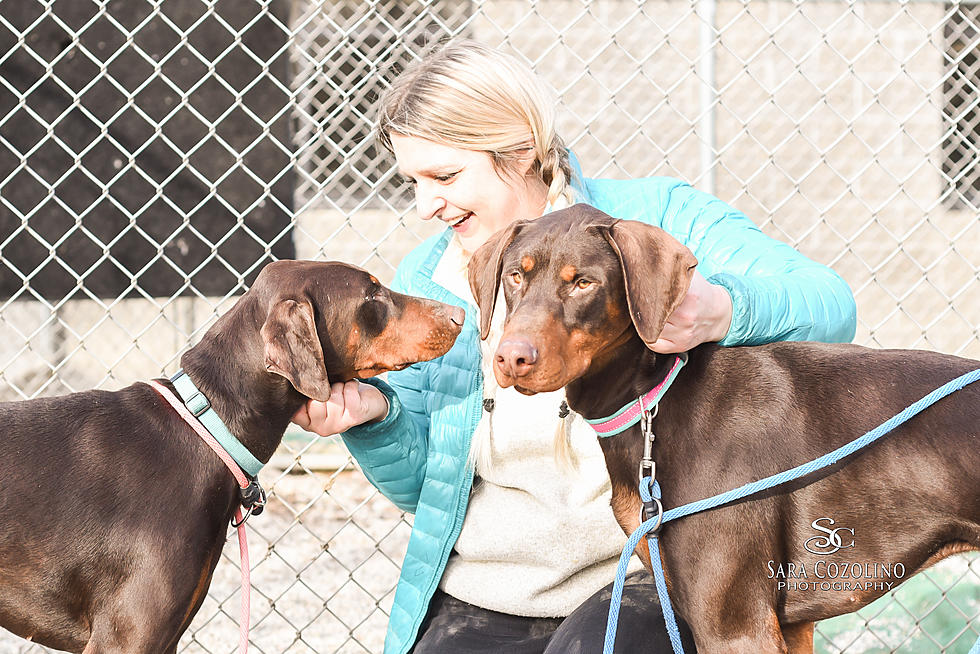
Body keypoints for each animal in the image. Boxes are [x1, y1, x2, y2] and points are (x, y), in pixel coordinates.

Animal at [468, 205, 980, 654]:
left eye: (583, 282)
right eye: (516, 276)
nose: (511, 357)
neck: (655, 399)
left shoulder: (735, 627)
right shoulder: (788, 627)